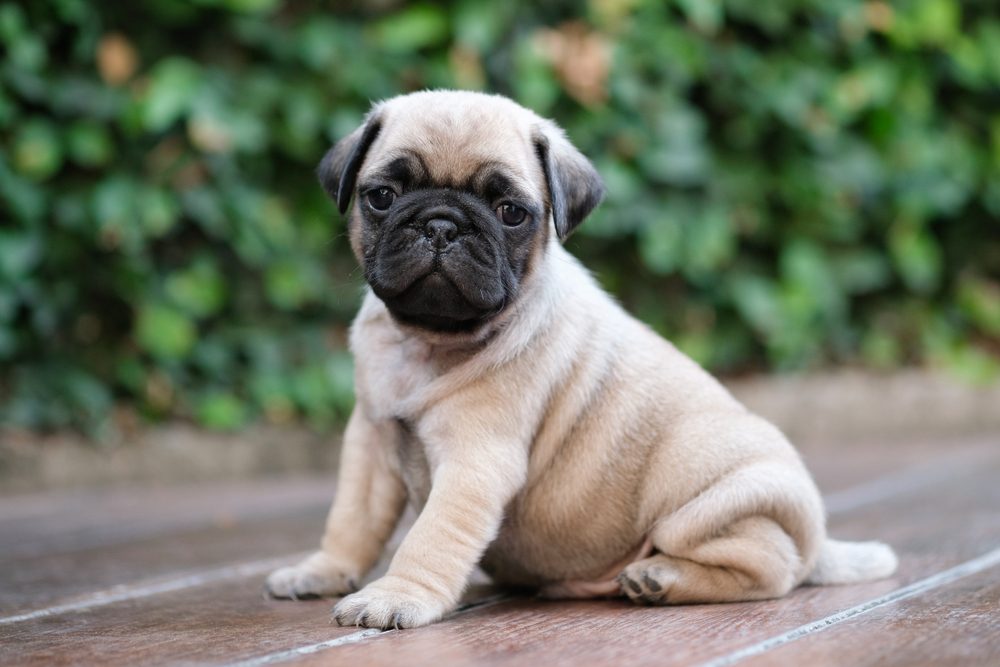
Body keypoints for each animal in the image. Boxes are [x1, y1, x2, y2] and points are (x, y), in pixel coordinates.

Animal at [268, 91, 900, 628]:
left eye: (510, 211)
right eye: (382, 197)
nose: (441, 224)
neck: (430, 341)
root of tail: (816, 541)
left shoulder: (475, 461)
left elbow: (432, 536)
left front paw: (397, 596)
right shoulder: (370, 443)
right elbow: (351, 521)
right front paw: (323, 570)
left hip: (709, 501)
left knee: (770, 567)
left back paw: (660, 578)